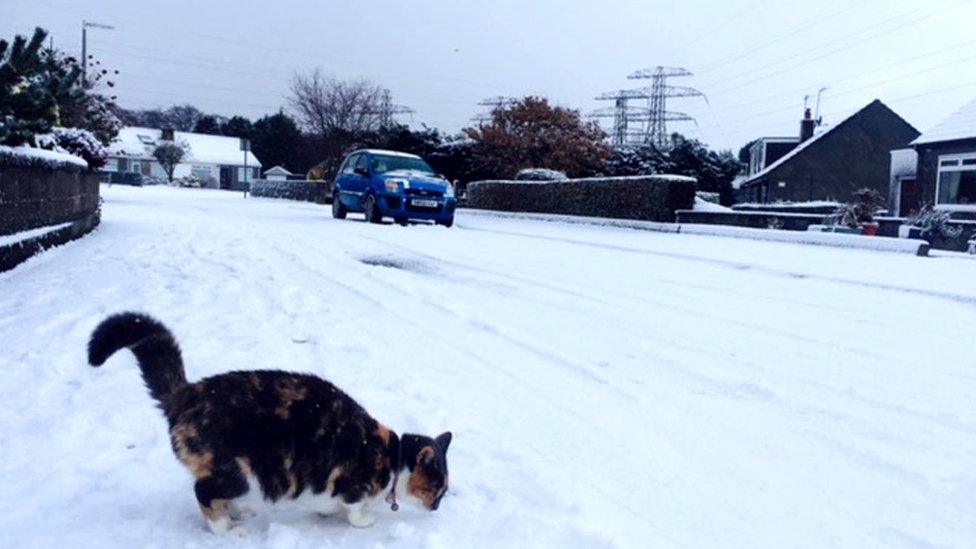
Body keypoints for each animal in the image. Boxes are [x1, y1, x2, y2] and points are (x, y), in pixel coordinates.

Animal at [86, 312, 452, 532]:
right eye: (438, 488)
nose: (437, 508)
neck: (393, 457)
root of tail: (188, 393)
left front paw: (327, 512)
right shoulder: (354, 483)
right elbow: (355, 509)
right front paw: (365, 520)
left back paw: (237, 513)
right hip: (240, 473)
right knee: (203, 491)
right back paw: (226, 528)